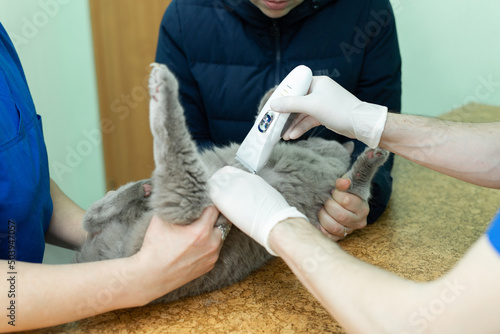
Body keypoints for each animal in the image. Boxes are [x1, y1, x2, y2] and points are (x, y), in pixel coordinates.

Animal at [77, 64, 390, 304]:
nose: (320, 142)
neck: (314, 156)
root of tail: (108, 258)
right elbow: (263, 117)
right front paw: (277, 94)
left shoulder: (337, 190)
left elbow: (357, 186)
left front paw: (375, 154)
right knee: (93, 215)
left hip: (189, 204)